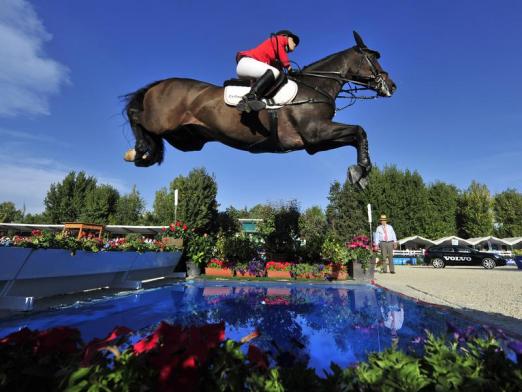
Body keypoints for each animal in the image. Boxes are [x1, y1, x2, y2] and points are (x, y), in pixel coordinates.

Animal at [122, 32, 396, 188]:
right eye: (374, 58)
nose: (391, 85)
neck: (317, 85)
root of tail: (160, 83)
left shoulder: (314, 143)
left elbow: (355, 135)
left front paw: (360, 173)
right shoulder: (316, 132)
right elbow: (359, 131)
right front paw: (361, 171)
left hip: (186, 137)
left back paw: (143, 153)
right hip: (161, 121)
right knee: (135, 115)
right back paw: (139, 150)